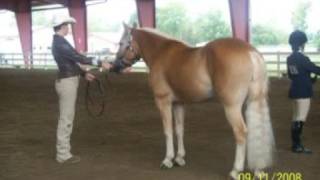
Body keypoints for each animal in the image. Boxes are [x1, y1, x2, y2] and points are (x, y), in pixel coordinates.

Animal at [115, 22, 276, 179]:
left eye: (122, 43)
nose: (115, 65)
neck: (160, 53)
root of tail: (250, 52)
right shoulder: (178, 103)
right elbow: (179, 130)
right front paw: (179, 158)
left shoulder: (163, 101)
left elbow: (167, 131)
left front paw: (167, 160)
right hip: (255, 100)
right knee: (258, 132)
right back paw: (258, 170)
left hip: (232, 107)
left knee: (241, 133)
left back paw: (235, 171)